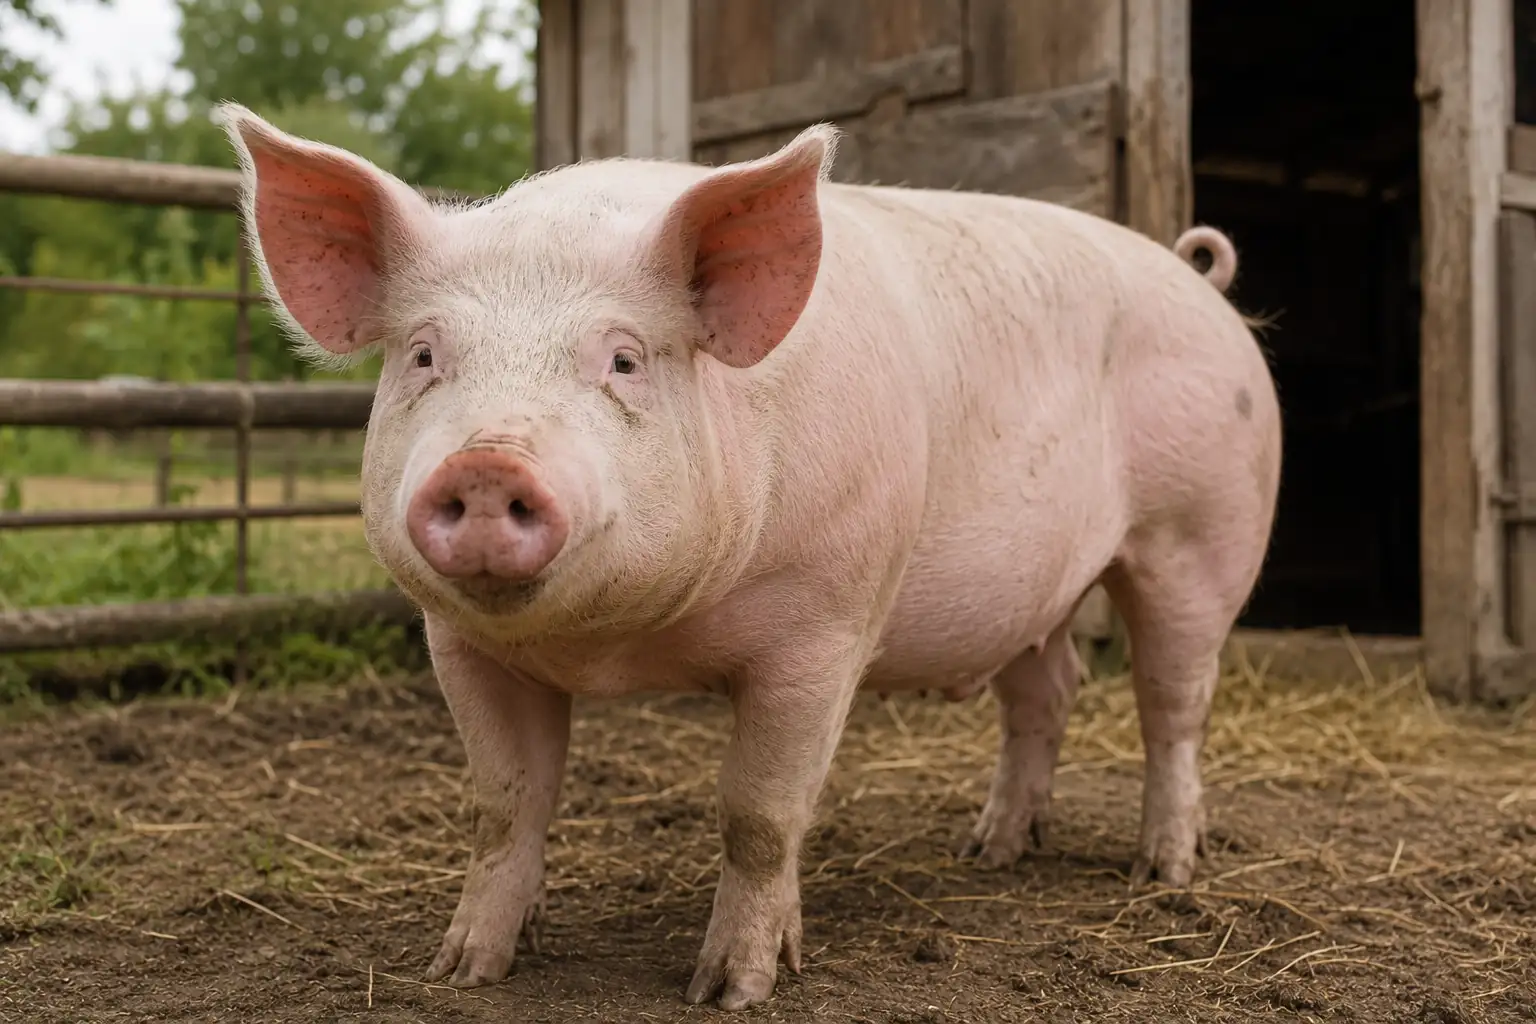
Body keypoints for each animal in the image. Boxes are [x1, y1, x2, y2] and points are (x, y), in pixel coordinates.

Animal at [216, 103, 1281, 1011]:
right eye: (427, 356)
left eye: (623, 360)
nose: (487, 462)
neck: (620, 647)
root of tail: (1201, 280)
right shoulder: (461, 644)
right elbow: (505, 804)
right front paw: (464, 969)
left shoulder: (825, 624)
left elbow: (761, 815)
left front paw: (731, 989)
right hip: (1035, 589)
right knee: (1047, 691)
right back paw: (989, 853)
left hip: (1202, 532)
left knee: (1172, 702)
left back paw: (1162, 870)